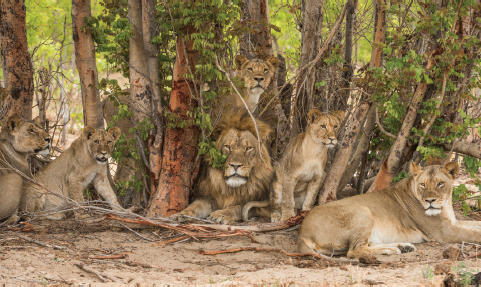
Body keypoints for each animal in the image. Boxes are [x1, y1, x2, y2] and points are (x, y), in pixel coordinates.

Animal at [296, 162, 480, 258]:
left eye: (440, 183)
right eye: (423, 184)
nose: (429, 201)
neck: (446, 204)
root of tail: (302, 233)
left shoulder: (453, 222)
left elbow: (475, 225)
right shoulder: (442, 232)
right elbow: (473, 234)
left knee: (365, 245)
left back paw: (403, 247)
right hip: (362, 211)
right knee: (354, 250)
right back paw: (392, 250)